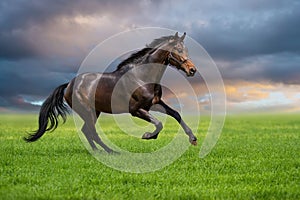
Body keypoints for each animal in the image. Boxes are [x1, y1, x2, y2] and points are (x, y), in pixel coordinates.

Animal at [24, 31, 198, 153]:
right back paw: (111, 151)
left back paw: (98, 151)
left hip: (95, 111)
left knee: (87, 131)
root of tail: (70, 84)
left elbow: (175, 114)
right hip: (88, 111)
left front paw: (193, 138)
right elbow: (159, 123)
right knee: (92, 132)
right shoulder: (136, 110)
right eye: (178, 49)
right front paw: (148, 135)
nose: (192, 70)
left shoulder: (154, 104)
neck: (141, 77)